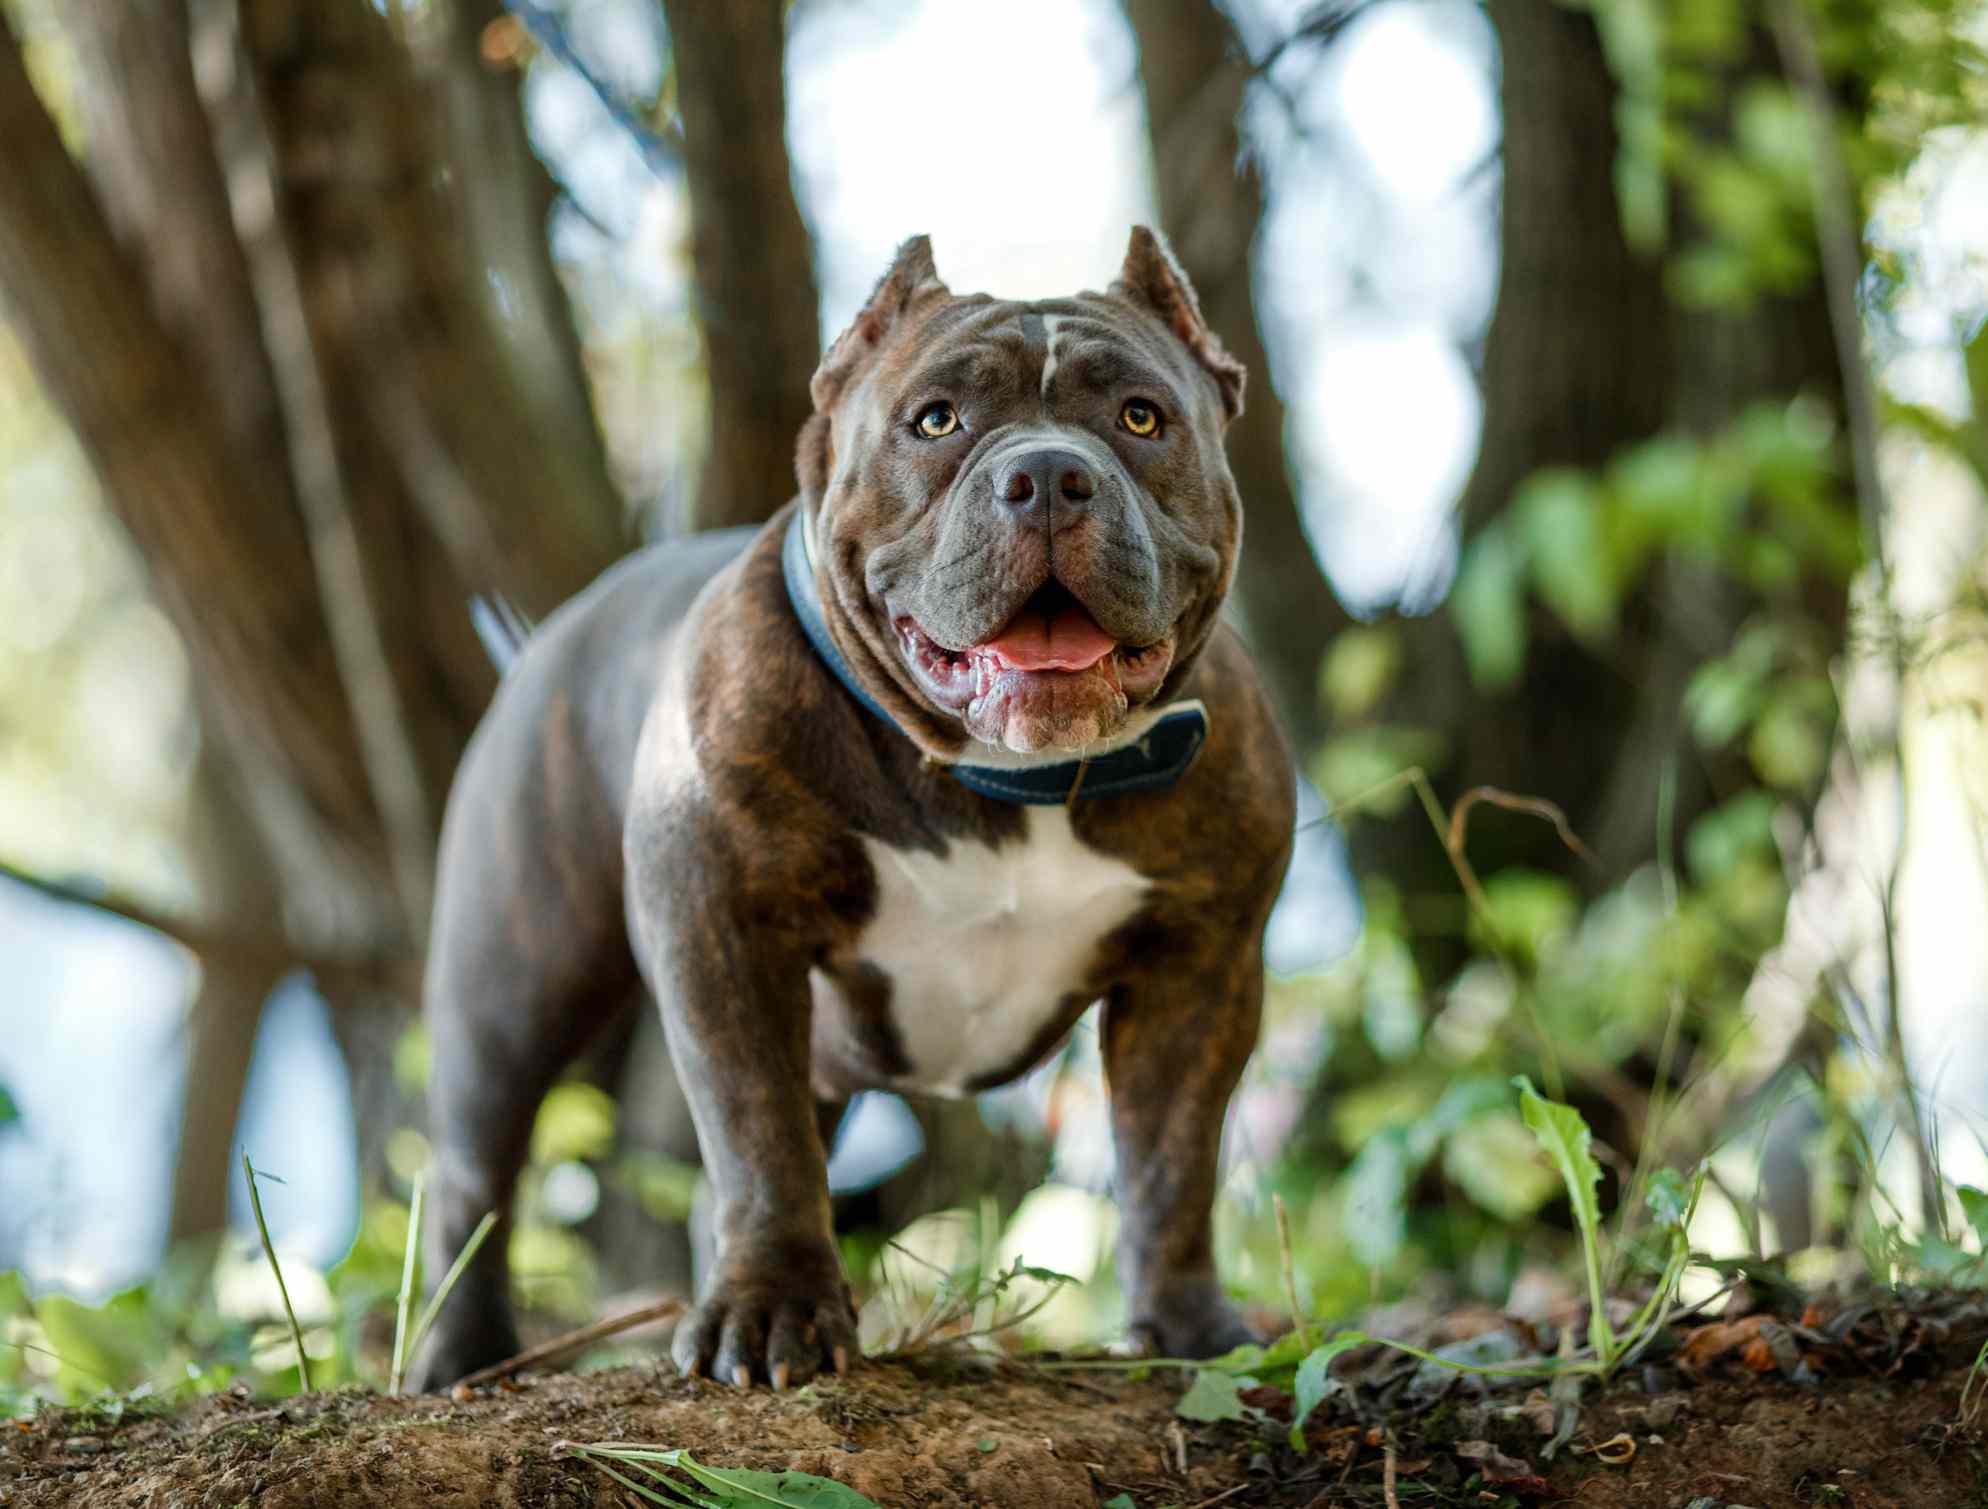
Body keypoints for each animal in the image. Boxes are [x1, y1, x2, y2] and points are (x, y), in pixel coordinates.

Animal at [411, 227, 1296, 1391]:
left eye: (1141, 418)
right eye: (937, 421)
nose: (1046, 475)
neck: (1002, 780)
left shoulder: (1200, 970)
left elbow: (1172, 1161)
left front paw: (1190, 1330)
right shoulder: (723, 927)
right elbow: (758, 1134)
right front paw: (770, 1310)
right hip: (512, 984)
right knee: (477, 1173)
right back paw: (458, 1357)